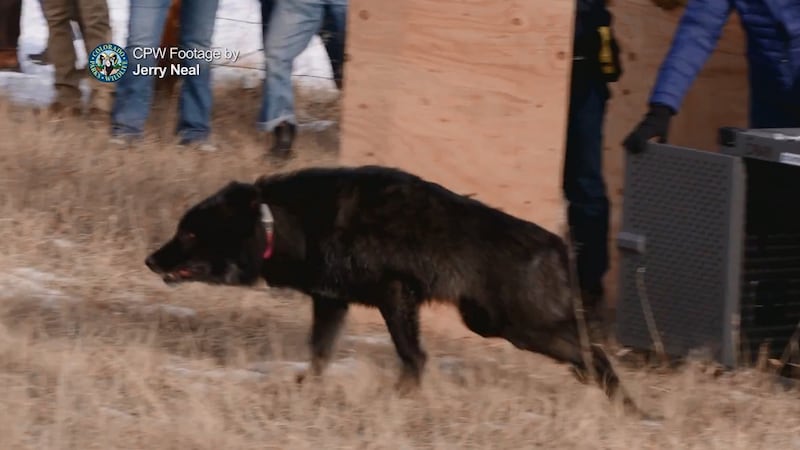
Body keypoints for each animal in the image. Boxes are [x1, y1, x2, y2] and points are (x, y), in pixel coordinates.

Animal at [145, 166, 644, 414]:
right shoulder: (332, 302)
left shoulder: (395, 296)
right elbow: (320, 352)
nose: (150, 260)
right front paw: (309, 386)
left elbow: (412, 355)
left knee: (595, 352)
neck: (277, 221)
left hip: (517, 328)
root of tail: (559, 246)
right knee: (587, 353)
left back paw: (629, 407)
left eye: (189, 234)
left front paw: (402, 397)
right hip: (498, 325)